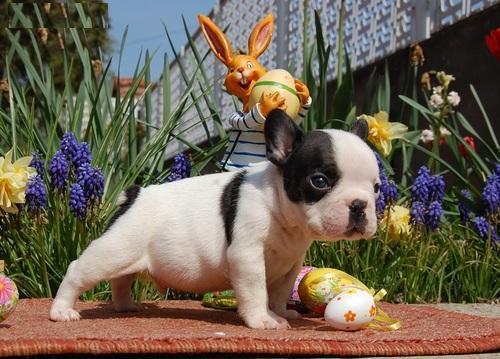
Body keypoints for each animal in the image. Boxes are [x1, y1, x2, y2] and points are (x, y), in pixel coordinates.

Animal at [49, 109, 378, 330]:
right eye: (320, 181)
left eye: (376, 187)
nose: (359, 205)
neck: (279, 206)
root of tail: (134, 195)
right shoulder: (247, 255)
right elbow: (256, 290)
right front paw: (263, 319)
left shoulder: (290, 264)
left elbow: (280, 291)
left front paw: (281, 312)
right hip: (114, 250)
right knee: (79, 270)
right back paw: (62, 311)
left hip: (127, 253)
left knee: (121, 279)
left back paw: (125, 306)